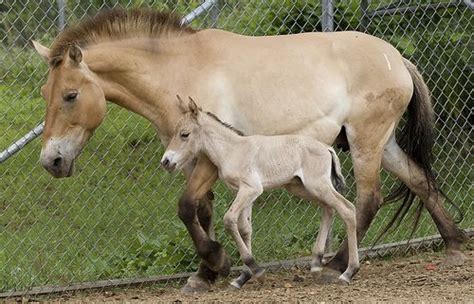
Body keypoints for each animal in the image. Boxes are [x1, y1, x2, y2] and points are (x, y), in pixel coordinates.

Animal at [161, 97, 358, 288]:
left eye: (184, 134)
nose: (166, 161)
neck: (233, 150)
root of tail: (327, 148)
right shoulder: (243, 193)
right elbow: (245, 228)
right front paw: (243, 277)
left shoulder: (251, 189)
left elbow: (229, 220)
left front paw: (256, 270)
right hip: (303, 188)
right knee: (329, 209)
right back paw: (317, 264)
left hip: (318, 186)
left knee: (347, 209)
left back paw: (348, 272)